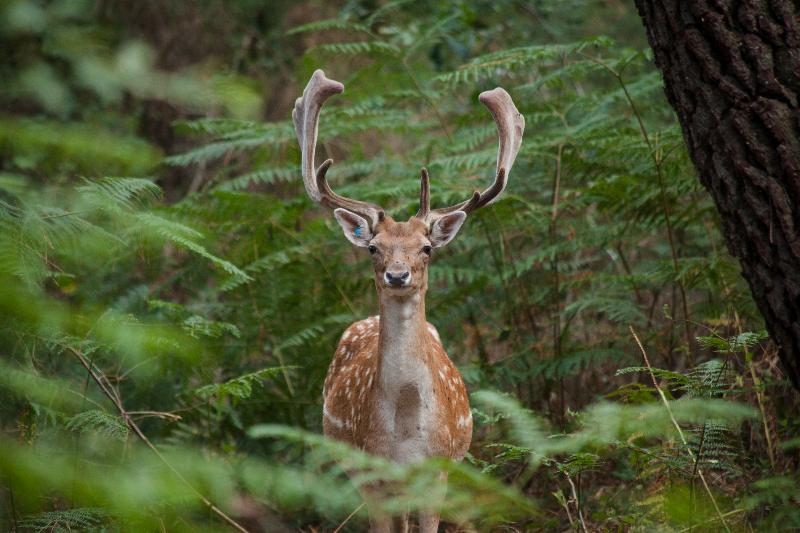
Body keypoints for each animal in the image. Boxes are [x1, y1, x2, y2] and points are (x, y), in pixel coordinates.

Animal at [294, 70, 524, 532]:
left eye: (427, 248)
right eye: (373, 248)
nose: (397, 275)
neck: (403, 433)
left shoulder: (438, 471)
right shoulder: (372, 473)